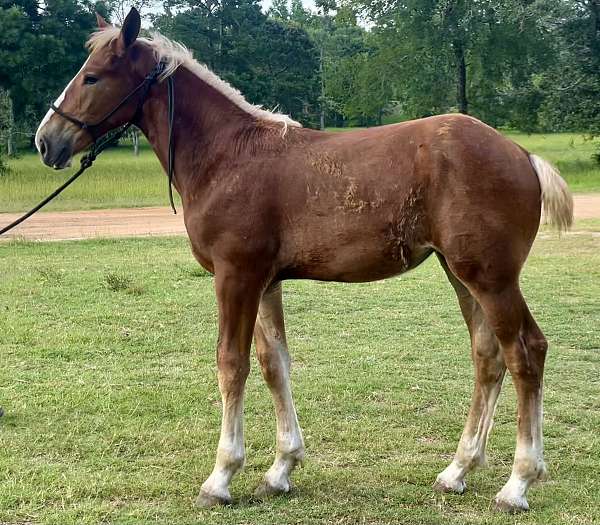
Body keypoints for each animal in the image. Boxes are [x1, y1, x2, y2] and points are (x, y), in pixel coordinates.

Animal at [35, 9, 576, 512]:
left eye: (92, 76)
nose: (46, 140)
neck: (226, 156)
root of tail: (521, 154)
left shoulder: (235, 277)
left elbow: (231, 363)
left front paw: (221, 477)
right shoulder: (265, 281)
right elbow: (274, 363)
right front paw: (280, 470)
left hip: (492, 278)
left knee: (525, 352)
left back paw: (518, 483)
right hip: (461, 274)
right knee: (488, 356)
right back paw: (456, 471)